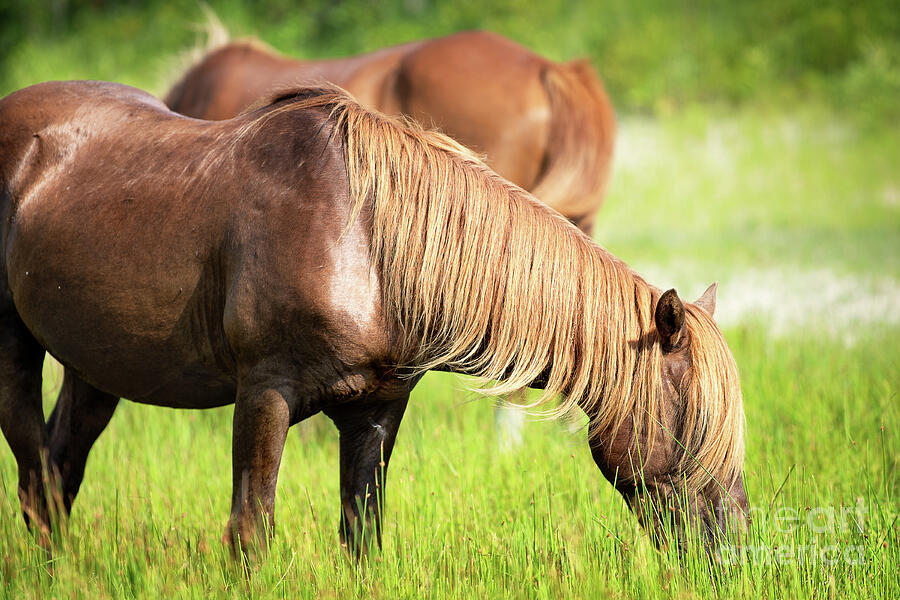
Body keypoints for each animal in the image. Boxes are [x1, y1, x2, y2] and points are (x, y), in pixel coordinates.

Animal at [0, 80, 746, 559]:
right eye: (694, 429)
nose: (733, 555)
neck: (365, 240)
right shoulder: (263, 395)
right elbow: (251, 533)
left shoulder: (375, 411)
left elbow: (362, 537)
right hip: (14, 341)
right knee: (32, 459)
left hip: (98, 362)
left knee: (62, 466)